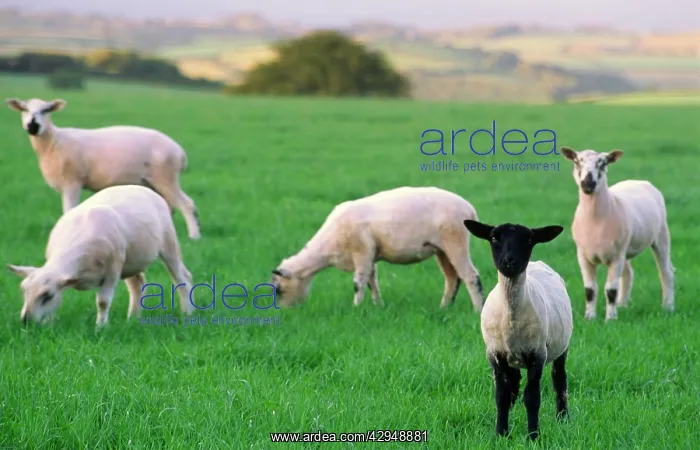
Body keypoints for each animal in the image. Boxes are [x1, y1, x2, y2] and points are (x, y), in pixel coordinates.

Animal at [5, 97, 201, 240]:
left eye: (46, 110)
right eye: (24, 109)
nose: (32, 126)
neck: (54, 141)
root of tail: (180, 152)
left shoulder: (72, 182)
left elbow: (69, 211)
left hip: (166, 176)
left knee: (186, 204)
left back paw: (194, 236)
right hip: (154, 181)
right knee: (169, 207)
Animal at [6, 184, 195, 326]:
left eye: (47, 295)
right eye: (24, 291)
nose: (26, 321)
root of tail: (138, 186)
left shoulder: (112, 271)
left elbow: (103, 301)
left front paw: (100, 327)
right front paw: (49, 324)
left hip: (168, 242)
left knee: (182, 277)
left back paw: (187, 313)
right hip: (130, 262)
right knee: (137, 284)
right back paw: (132, 318)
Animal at [270, 186, 486, 311]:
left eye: (278, 289)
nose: (285, 311)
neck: (327, 249)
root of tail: (470, 209)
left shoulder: (361, 252)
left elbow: (358, 282)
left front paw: (356, 308)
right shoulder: (370, 256)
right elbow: (372, 282)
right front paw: (377, 305)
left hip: (455, 241)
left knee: (470, 276)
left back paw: (478, 309)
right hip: (441, 250)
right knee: (452, 278)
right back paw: (444, 307)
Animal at [464, 219, 572, 441]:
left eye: (529, 240)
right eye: (494, 238)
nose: (510, 262)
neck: (511, 318)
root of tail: (537, 263)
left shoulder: (537, 354)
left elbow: (532, 398)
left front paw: (533, 436)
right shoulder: (494, 354)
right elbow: (502, 396)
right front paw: (501, 433)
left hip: (561, 347)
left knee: (559, 380)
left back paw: (563, 418)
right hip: (510, 356)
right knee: (514, 383)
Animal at [561, 146, 674, 321]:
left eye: (603, 163)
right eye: (577, 161)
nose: (587, 184)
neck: (595, 220)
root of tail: (637, 181)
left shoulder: (616, 257)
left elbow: (611, 290)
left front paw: (610, 319)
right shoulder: (583, 256)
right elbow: (590, 290)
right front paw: (590, 318)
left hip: (661, 236)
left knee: (666, 272)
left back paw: (668, 307)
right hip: (624, 249)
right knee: (628, 274)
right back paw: (622, 305)